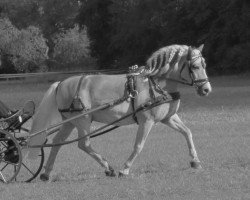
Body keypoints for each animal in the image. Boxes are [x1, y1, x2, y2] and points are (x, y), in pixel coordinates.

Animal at [26, 44, 211, 181]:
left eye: (204, 65)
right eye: (195, 66)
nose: (206, 89)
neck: (155, 84)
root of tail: (61, 83)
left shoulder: (168, 118)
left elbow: (187, 132)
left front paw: (195, 161)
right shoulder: (147, 121)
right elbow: (138, 145)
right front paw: (125, 169)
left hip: (70, 121)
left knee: (57, 142)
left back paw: (46, 173)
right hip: (82, 119)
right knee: (84, 144)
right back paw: (109, 168)